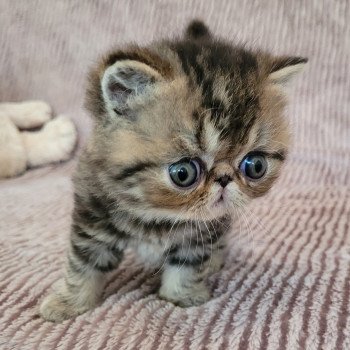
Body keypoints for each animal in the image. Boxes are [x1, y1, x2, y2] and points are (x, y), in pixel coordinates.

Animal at [39, 20, 304, 322]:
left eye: (255, 166)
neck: (158, 214)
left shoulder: (202, 231)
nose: (225, 178)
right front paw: (68, 302)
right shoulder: (93, 216)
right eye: (183, 173)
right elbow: (84, 262)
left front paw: (182, 295)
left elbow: (188, 262)